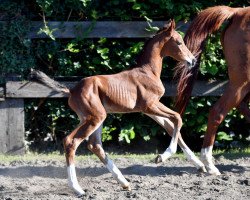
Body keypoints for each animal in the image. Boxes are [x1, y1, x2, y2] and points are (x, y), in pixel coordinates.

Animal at [30, 20, 205, 197]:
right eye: (179, 42)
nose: (192, 61)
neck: (148, 72)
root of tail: (72, 90)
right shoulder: (150, 105)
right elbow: (177, 118)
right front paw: (161, 157)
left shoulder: (149, 109)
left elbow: (171, 126)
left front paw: (200, 165)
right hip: (95, 118)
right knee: (71, 141)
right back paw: (78, 189)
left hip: (94, 118)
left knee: (94, 145)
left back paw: (124, 183)